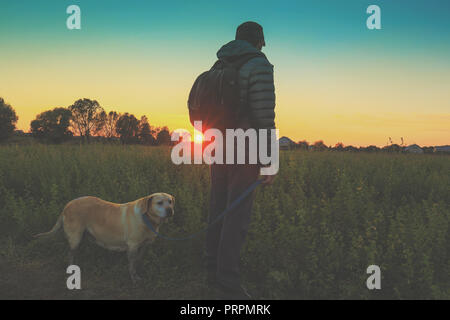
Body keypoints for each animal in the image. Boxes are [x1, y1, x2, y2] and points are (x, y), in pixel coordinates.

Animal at [33, 194, 174, 284]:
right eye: (159, 203)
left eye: (170, 201)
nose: (170, 210)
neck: (148, 219)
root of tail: (67, 205)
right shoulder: (133, 246)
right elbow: (132, 264)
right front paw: (134, 278)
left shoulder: (145, 245)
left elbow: (138, 259)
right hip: (75, 237)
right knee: (70, 254)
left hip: (82, 236)